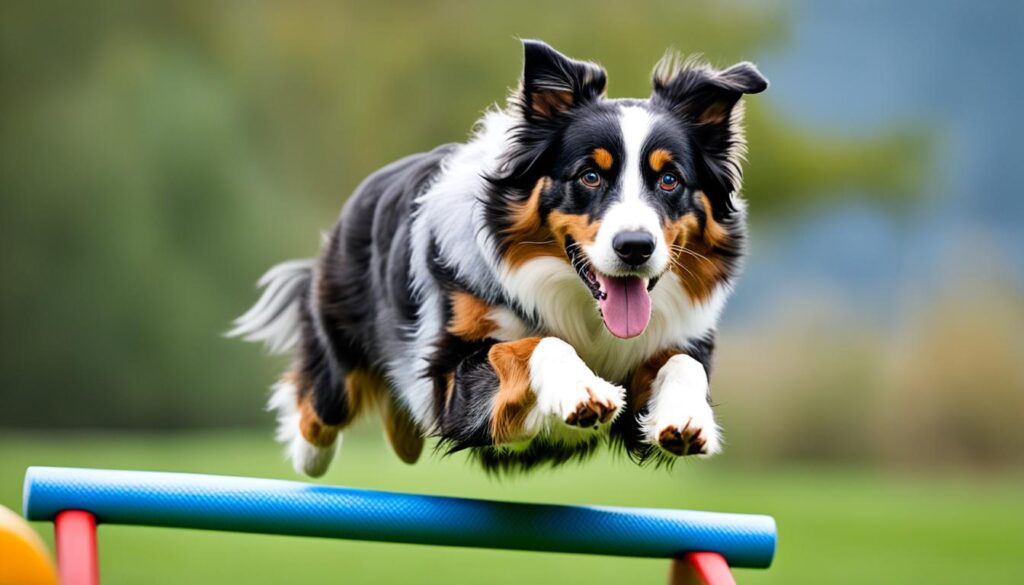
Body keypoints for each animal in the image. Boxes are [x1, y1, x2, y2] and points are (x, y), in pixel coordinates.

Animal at [228, 43, 765, 477]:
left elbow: (683, 364)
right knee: (320, 407)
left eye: (670, 180)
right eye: (589, 176)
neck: (583, 312)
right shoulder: (451, 380)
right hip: (339, 363)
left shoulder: (665, 350)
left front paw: (686, 417)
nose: (635, 247)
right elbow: (532, 344)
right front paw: (581, 389)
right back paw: (308, 455)